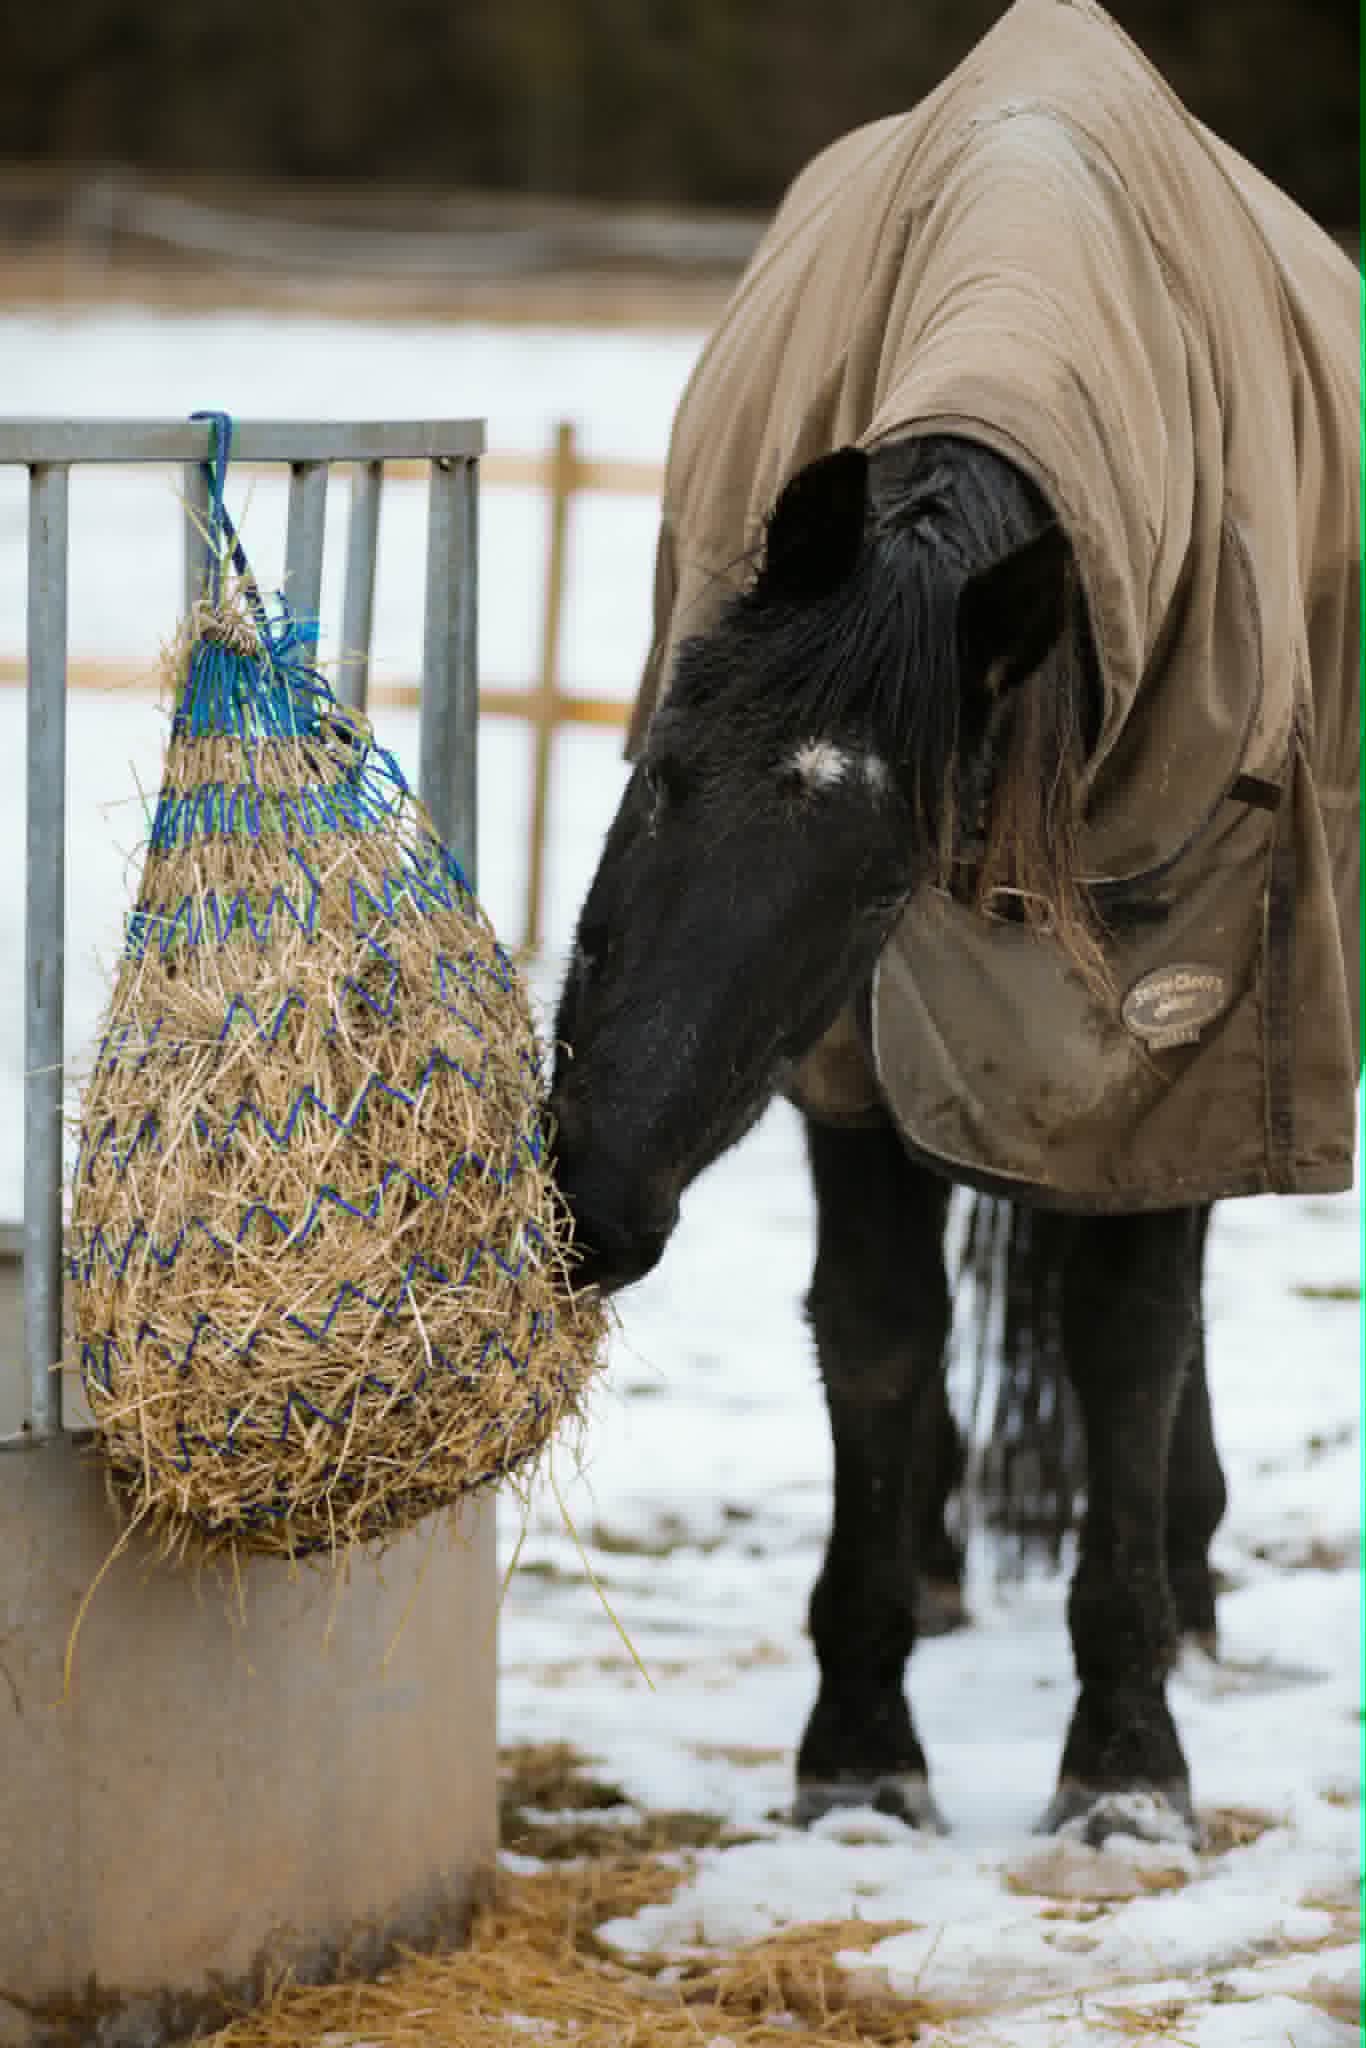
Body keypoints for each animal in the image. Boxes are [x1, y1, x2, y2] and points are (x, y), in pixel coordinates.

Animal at [548, 434, 1232, 1844]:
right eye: (661, 772)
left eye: (878, 886)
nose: (594, 1197)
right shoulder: (858, 1072)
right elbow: (877, 1329)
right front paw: (862, 1745)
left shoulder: (1168, 1051)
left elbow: (1130, 1343)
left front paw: (1127, 1763)